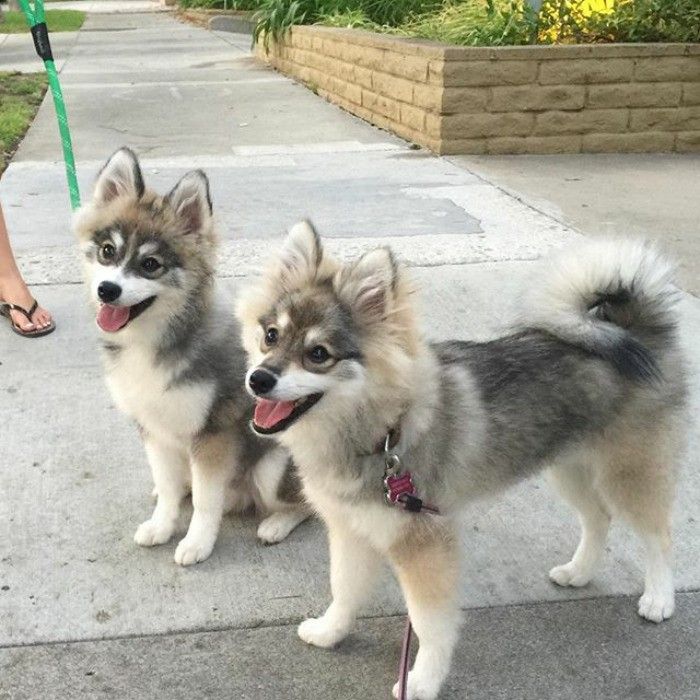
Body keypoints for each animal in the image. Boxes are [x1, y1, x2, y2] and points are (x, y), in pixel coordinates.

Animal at [74, 150, 308, 568]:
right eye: (107, 251)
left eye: (151, 264)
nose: (107, 290)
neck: (153, 341)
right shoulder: (153, 429)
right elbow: (168, 487)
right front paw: (162, 524)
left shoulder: (213, 434)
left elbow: (205, 499)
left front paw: (197, 541)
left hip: (272, 467)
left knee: (308, 506)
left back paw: (277, 523)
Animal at [238, 223, 688, 700]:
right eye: (271, 335)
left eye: (319, 354)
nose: (258, 379)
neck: (381, 432)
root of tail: (635, 330)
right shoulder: (351, 529)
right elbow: (343, 588)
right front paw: (330, 632)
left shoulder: (424, 543)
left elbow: (429, 624)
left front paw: (421, 680)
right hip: (569, 468)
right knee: (598, 518)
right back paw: (579, 572)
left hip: (629, 472)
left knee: (657, 537)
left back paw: (659, 598)